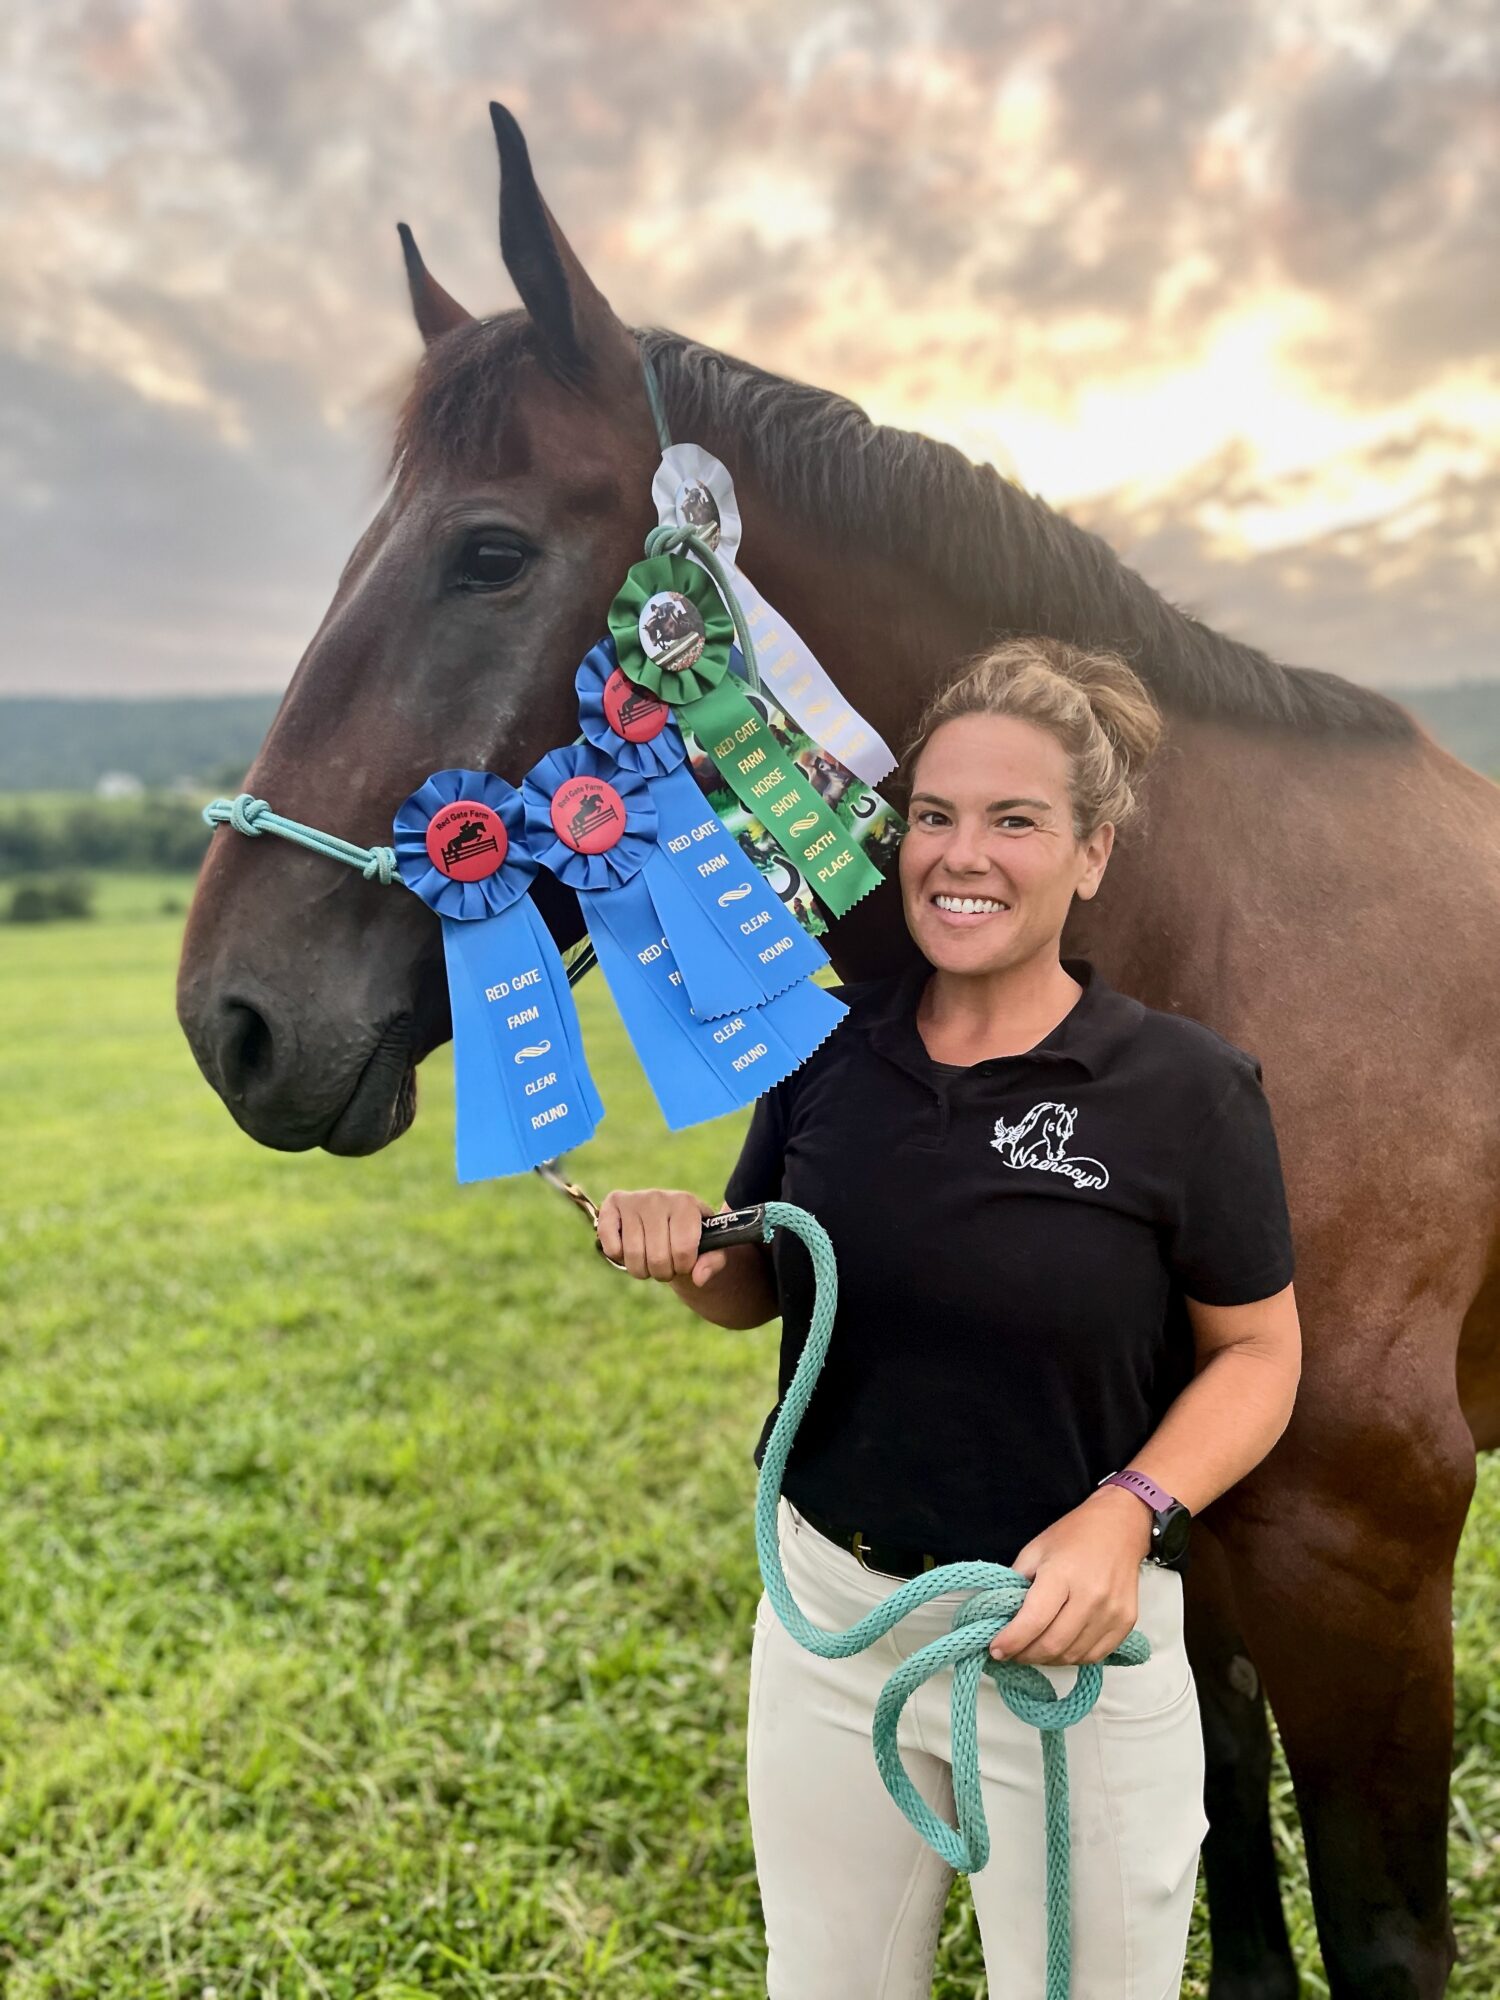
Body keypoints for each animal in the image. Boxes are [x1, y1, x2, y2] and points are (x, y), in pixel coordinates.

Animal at [177, 103, 1500, 1999]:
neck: (1224, 931)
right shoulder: (1199, 1535)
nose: (232, 1019)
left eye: (488, 552)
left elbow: (1379, 1929)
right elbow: (1224, 1829)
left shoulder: (1359, 1549)